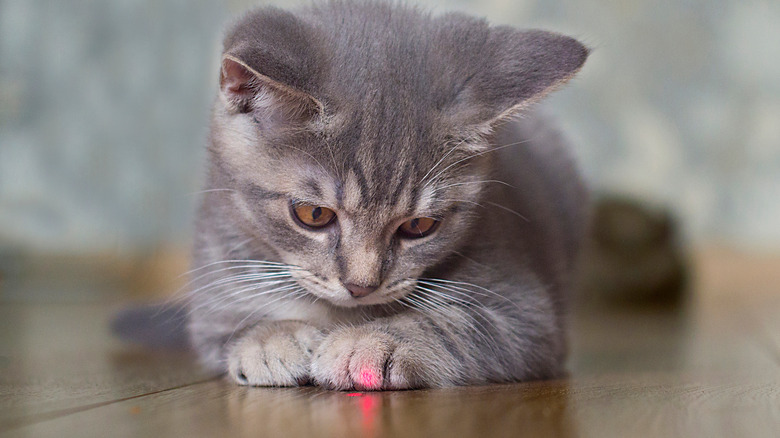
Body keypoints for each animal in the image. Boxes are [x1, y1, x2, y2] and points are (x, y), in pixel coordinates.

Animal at [189, 0, 588, 390]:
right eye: (314, 215)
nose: (360, 286)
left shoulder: (525, 313)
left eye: (419, 225)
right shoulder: (213, 293)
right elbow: (232, 326)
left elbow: (453, 324)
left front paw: (369, 342)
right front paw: (270, 339)